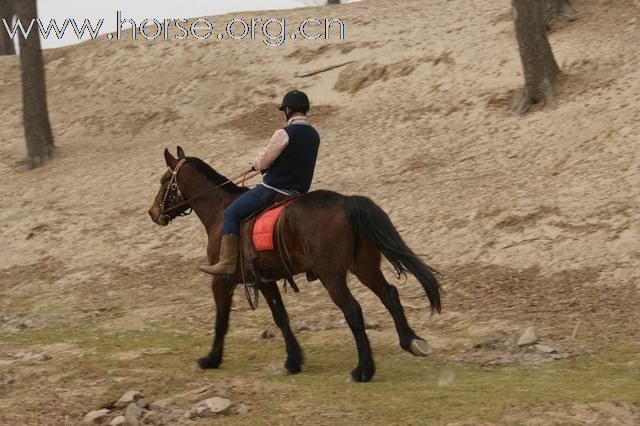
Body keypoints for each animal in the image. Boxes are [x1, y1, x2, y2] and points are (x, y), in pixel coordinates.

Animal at [149, 147, 440, 382]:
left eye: (164, 181)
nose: (153, 213)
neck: (221, 211)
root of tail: (346, 202)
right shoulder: (264, 281)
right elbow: (281, 317)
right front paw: (293, 361)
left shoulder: (222, 279)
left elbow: (222, 319)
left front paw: (211, 359)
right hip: (365, 268)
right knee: (389, 295)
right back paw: (410, 342)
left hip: (332, 276)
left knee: (353, 311)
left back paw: (363, 370)